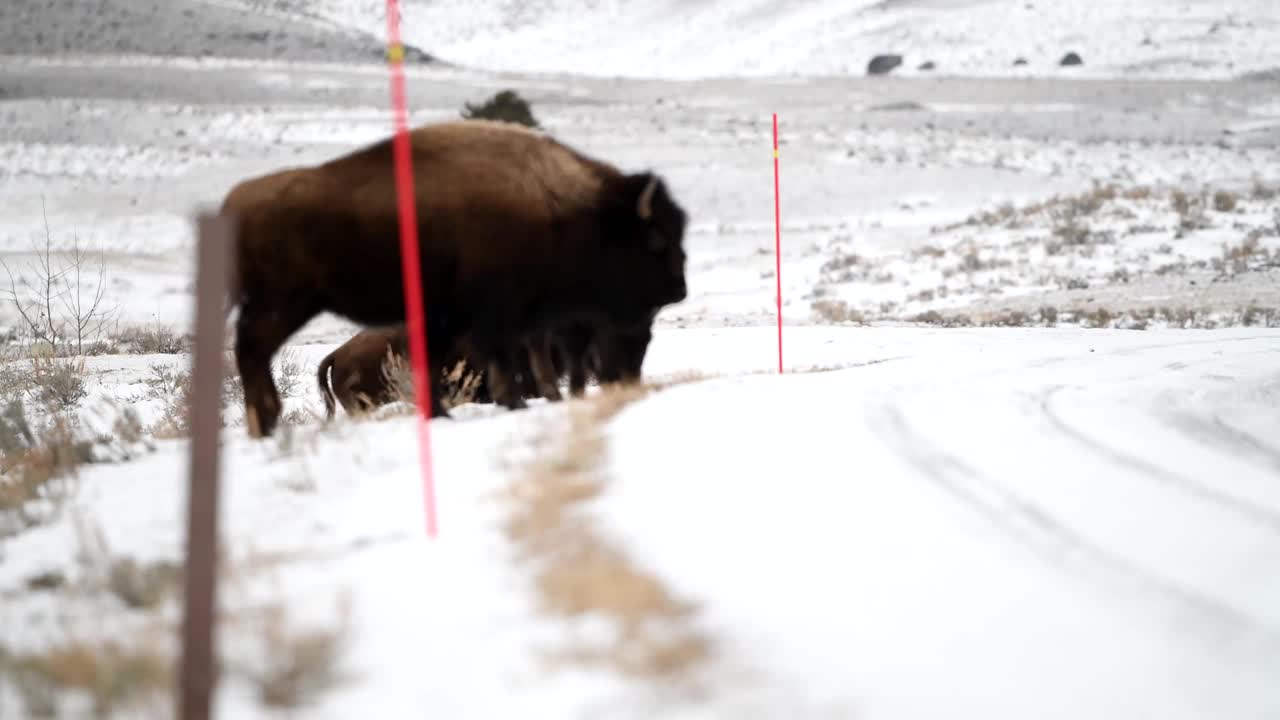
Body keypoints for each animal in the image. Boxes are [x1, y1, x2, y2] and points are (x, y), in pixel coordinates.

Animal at [220, 116, 686, 438]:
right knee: (251, 350)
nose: (678, 289)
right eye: (656, 238)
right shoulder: (499, 311)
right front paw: (513, 402)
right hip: (284, 303)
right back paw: (266, 420)